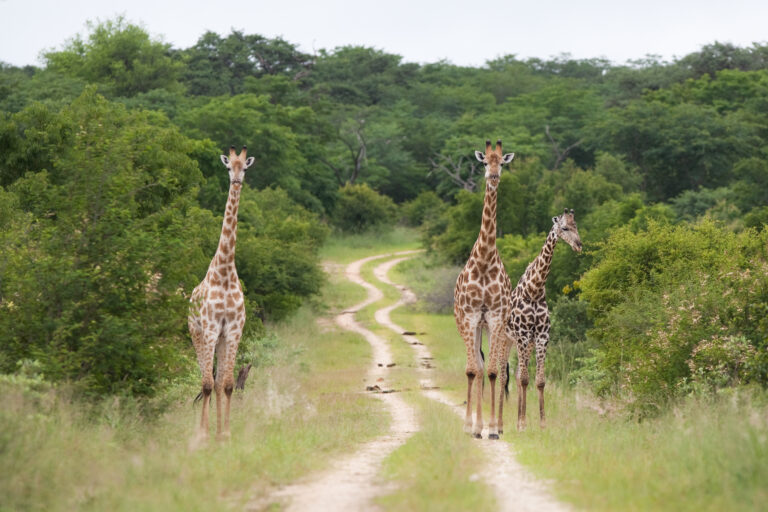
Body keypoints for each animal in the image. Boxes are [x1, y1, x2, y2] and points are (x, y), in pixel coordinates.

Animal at [500, 208, 582, 432]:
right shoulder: (522, 334)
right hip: (504, 339)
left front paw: (541, 423)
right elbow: (525, 378)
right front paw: (522, 424)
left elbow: (538, 380)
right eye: (564, 228)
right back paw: (499, 421)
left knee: (515, 375)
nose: (579, 245)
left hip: (522, 342)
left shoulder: (541, 336)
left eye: (576, 226)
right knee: (501, 374)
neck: (535, 290)